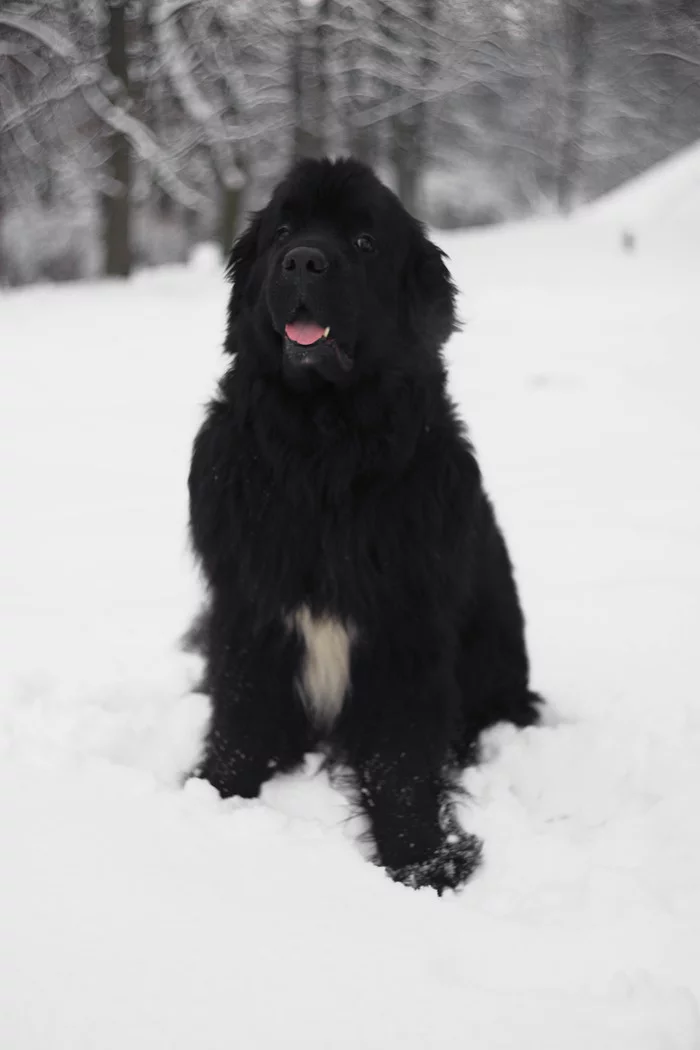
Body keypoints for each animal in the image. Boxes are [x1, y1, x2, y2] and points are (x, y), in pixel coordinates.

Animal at [187, 157, 541, 894]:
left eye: (364, 242)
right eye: (283, 230)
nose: (302, 260)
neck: (323, 448)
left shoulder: (406, 624)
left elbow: (402, 757)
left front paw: (422, 857)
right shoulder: (248, 606)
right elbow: (239, 713)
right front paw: (214, 797)